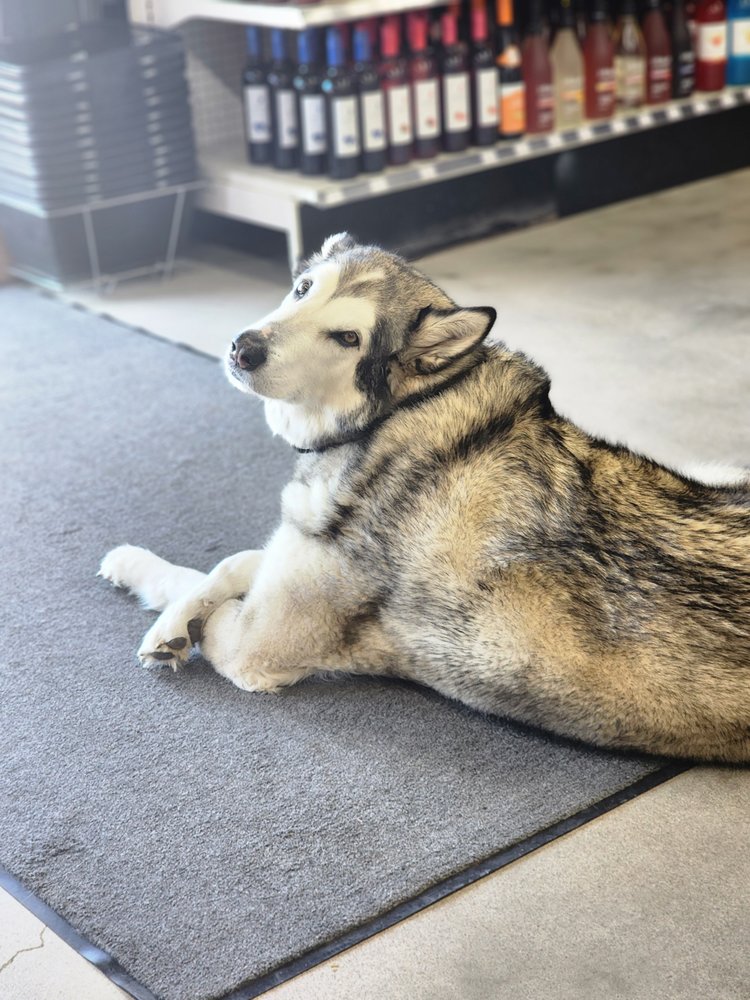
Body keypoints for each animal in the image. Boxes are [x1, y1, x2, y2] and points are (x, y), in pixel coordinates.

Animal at [100, 233, 750, 763]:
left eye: (348, 337)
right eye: (302, 289)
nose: (243, 346)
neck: (400, 414)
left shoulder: (255, 646)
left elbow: (209, 590)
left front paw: (168, 614)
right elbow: (228, 564)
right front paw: (164, 610)